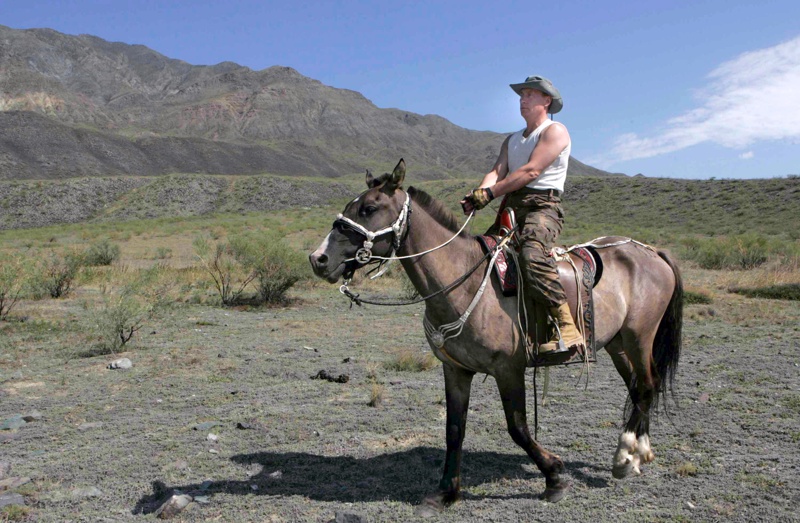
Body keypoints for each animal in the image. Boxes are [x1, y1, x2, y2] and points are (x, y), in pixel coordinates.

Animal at [306, 159, 680, 516]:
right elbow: (454, 430)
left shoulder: (508, 369)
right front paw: (445, 493)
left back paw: (626, 457)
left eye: (369, 208)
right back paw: (637, 454)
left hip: (639, 336)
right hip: (618, 344)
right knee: (640, 388)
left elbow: (518, 428)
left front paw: (555, 476)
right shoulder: (456, 370)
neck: (463, 279)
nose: (318, 258)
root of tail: (650, 251)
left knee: (647, 385)